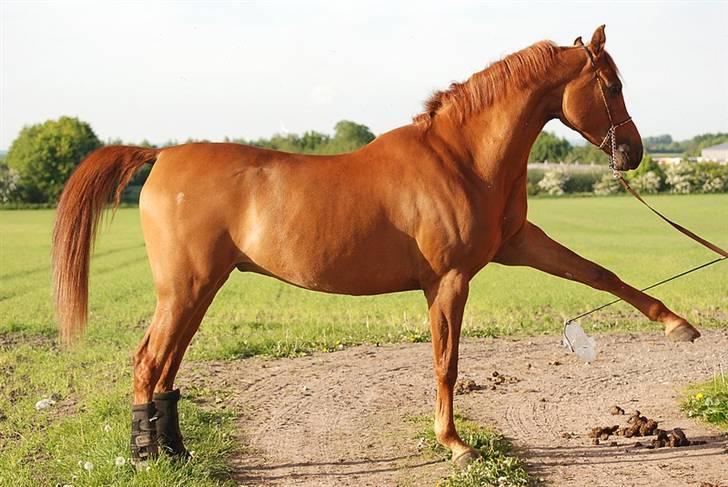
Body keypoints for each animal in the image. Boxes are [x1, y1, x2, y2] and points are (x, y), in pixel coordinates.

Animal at [49, 24, 700, 468]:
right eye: (612, 84)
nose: (633, 153)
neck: (461, 159)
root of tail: (160, 156)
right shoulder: (449, 281)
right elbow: (446, 362)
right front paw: (455, 444)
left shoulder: (517, 244)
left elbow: (598, 273)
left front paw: (677, 325)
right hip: (185, 289)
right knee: (147, 363)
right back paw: (148, 457)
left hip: (201, 289)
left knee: (166, 368)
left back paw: (176, 453)